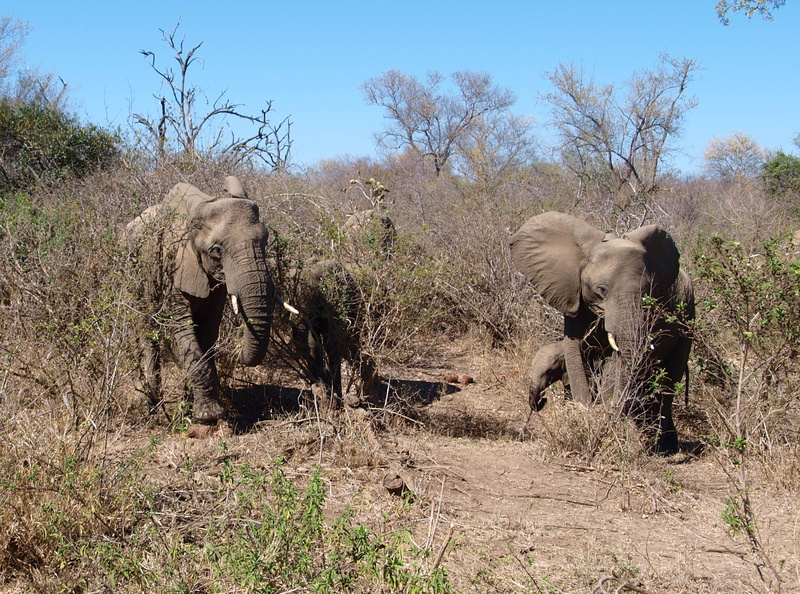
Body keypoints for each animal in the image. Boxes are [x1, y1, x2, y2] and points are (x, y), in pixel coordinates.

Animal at [127, 176, 277, 423]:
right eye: (216, 251)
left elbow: (206, 332)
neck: (200, 206)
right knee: (147, 337)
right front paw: (209, 416)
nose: (237, 342)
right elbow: (181, 330)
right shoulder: (171, 265)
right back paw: (152, 409)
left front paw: (190, 412)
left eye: (265, 241)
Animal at [510, 212, 694, 453]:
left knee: (668, 384)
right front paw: (583, 415)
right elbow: (574, 351)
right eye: (602, 290)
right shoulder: (573, 293)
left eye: (648, 294)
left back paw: (663, 448)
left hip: (688, 321)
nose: (542, 402)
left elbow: (616, 362)